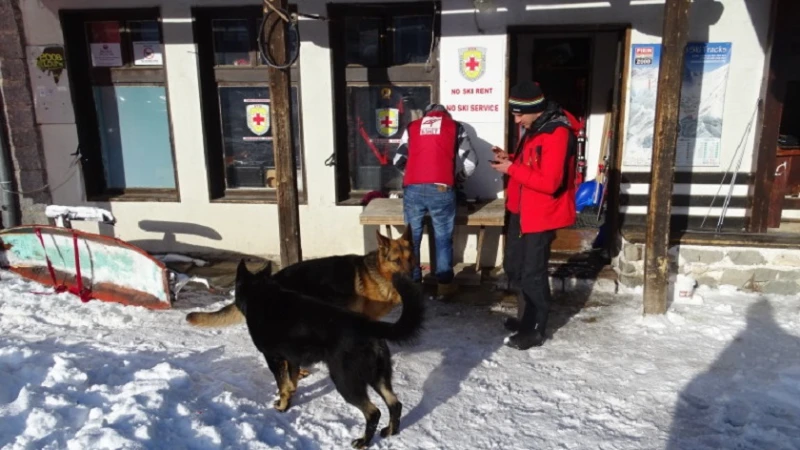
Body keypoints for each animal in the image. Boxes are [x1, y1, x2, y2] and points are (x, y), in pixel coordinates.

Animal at [233, 258, 424, 448]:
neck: (260, 293)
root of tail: (368, 325)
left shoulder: (274, 359)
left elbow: (282, 387)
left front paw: (282, 406)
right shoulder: (292, 359)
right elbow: (291, 381)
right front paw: (291, 398)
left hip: (345, 381)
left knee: (373, 412)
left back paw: (363, 441)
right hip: (378, 377)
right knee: (395, 404)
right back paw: (391, 431)